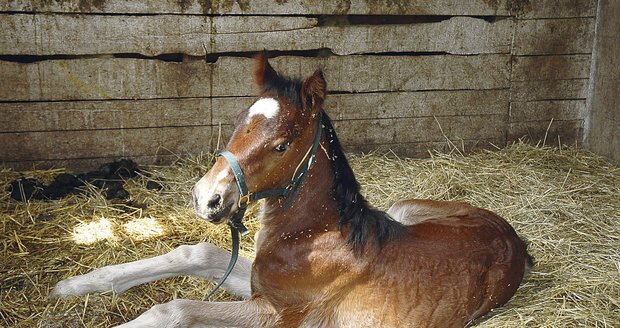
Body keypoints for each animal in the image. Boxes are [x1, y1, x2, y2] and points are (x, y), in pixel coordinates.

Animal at [50, 55, 532, 326]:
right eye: (239, 120)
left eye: (281, 144)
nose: (207, 198)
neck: (314, 237)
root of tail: (519, 243)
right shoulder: (261, 289)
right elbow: (197, 252)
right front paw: (72, 287)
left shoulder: (281, 316)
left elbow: (176, 309)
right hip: (404, 208)